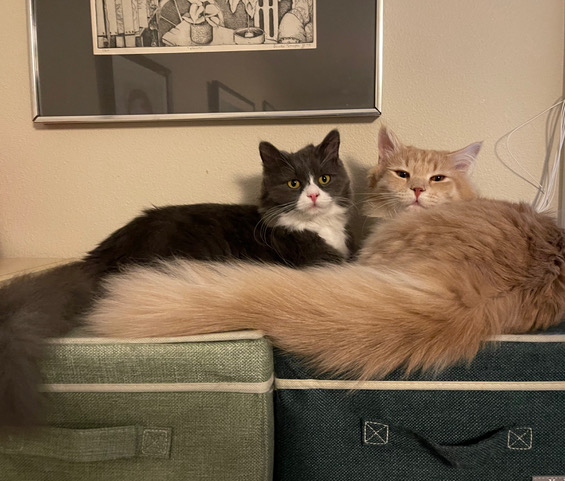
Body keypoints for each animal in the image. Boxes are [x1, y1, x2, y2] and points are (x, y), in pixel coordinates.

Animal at [0, 129, 352, 426]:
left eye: (324, 178)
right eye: (294, 184)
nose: (314, 196)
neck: (313, 227)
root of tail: (98, 258)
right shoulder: (318, 261)